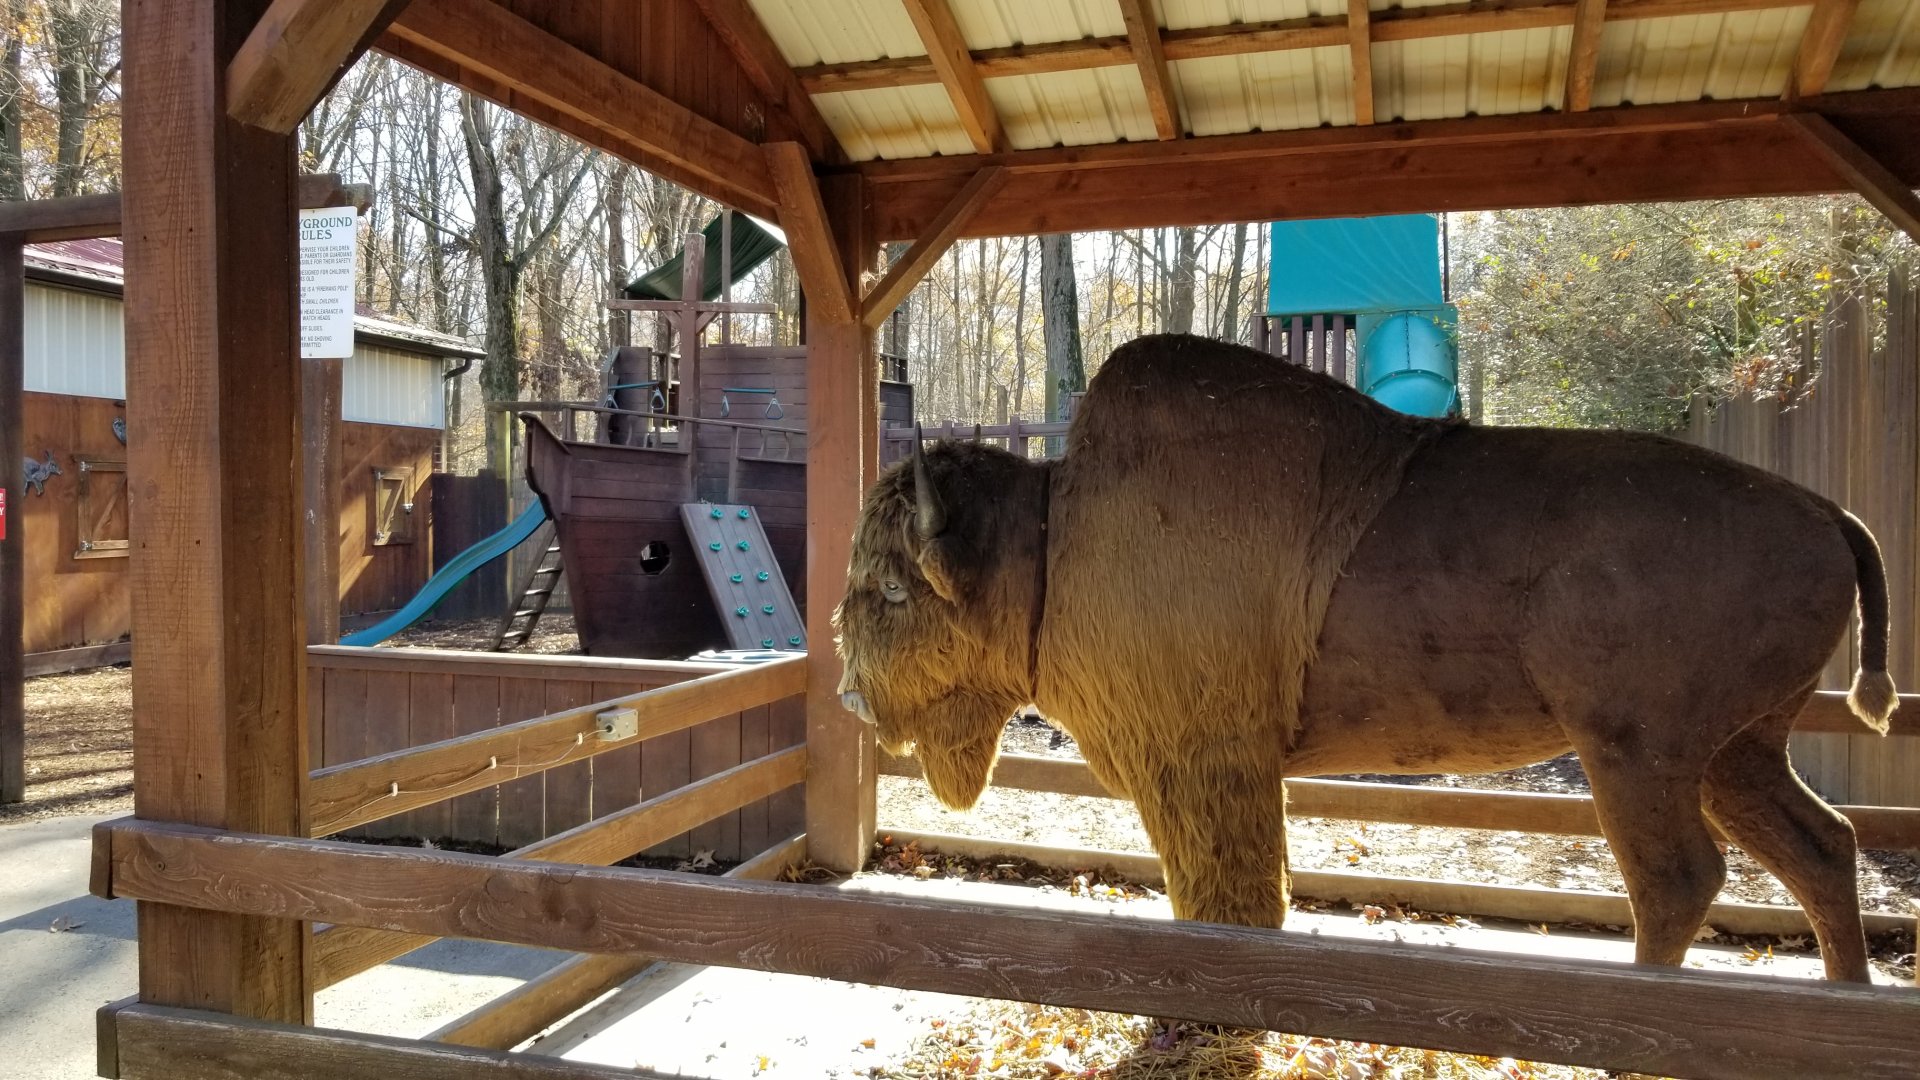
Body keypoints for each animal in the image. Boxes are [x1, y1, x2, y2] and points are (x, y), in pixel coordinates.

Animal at [835, 333, 1895, 982]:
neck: (1056, 544)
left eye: (893, 589)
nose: (848, 697)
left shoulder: (1203, 769)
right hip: (1738, 753)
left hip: (1638, 755)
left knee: (1678, 879)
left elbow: (1228, 899)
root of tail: (1827, 511)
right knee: (1821, 846)